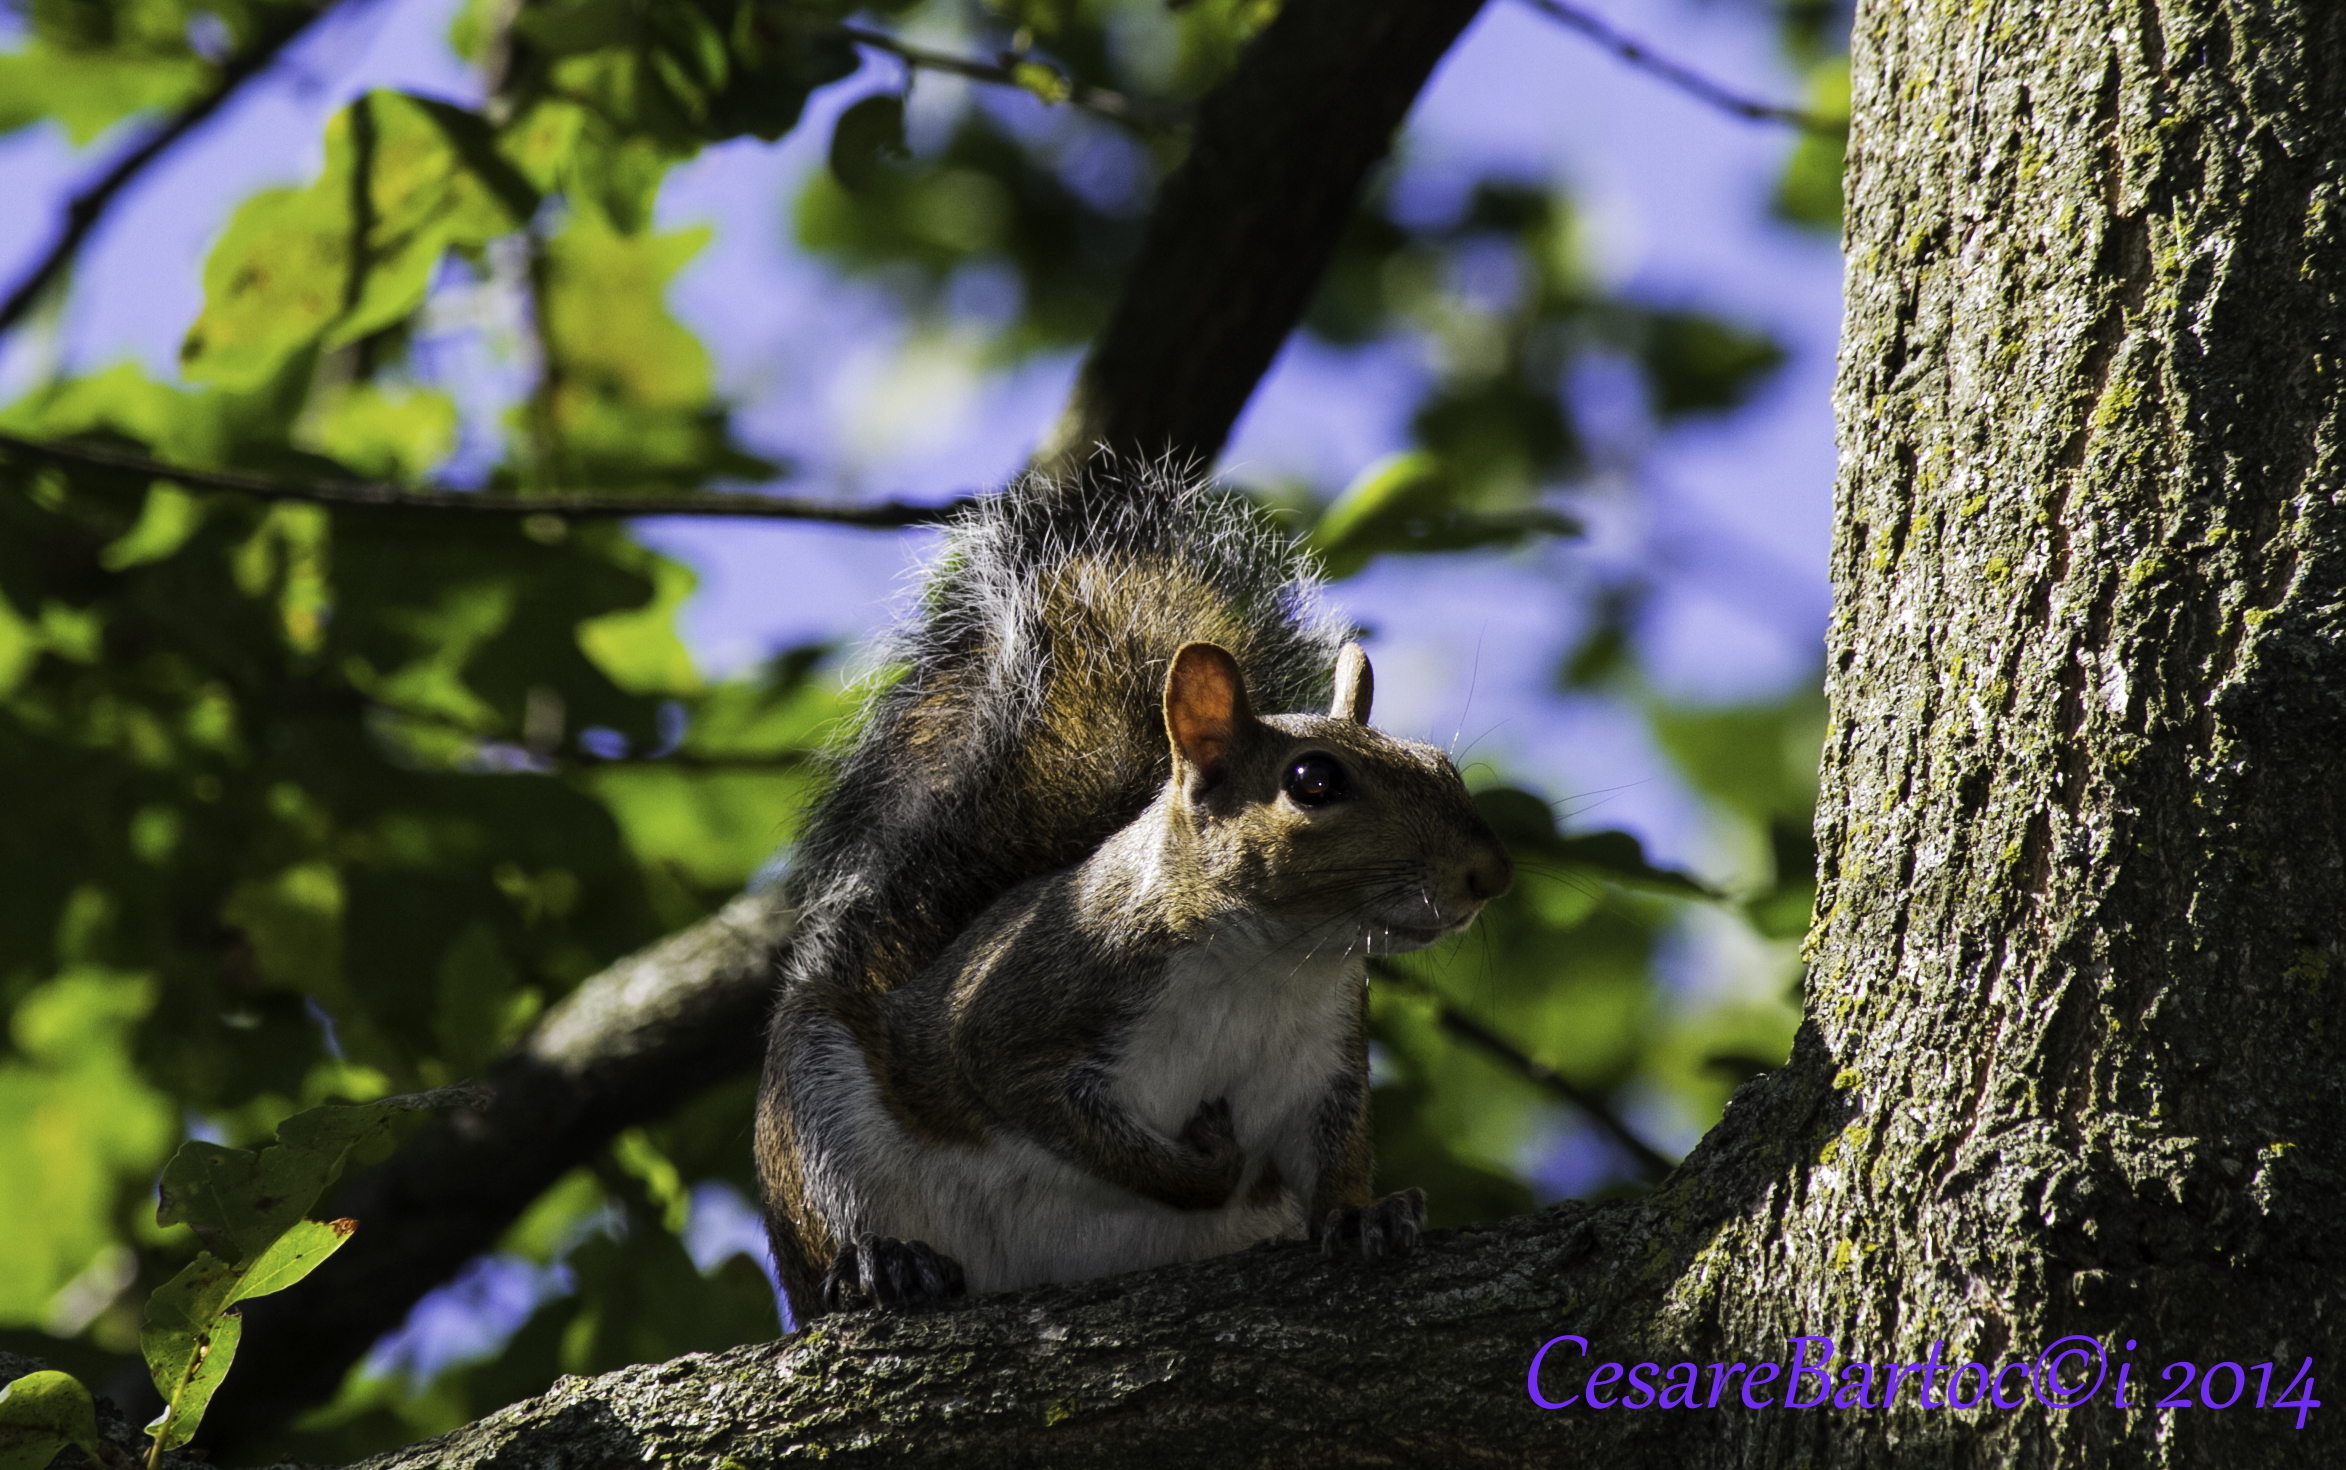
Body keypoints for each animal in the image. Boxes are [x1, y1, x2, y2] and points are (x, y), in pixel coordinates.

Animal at [754, 461, 1512, 1322]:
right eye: (1313, 781)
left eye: (1442, 766)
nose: (1489, 873)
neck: (1264, 963)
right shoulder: (1025, 1005)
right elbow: (1038, 1098)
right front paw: (1205, 1166)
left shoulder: (1327, 1063)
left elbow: (1339, 1152)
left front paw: (1362, 1216)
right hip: (815, 1096)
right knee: (832, 1217)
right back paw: (883, 1260)